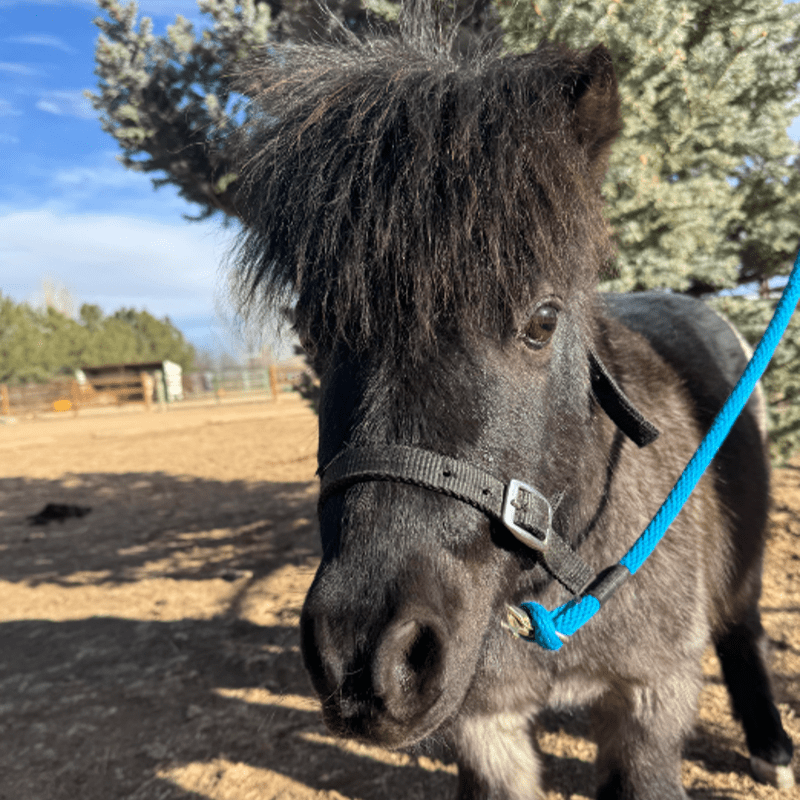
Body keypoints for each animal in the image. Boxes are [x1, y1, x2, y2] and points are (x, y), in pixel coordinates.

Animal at [230, 8, 795, 797]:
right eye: (313, 329)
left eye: (543, 320)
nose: (365, 655)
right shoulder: (486, 727)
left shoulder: (651, 699)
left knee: (743, 624)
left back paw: (770, 744)